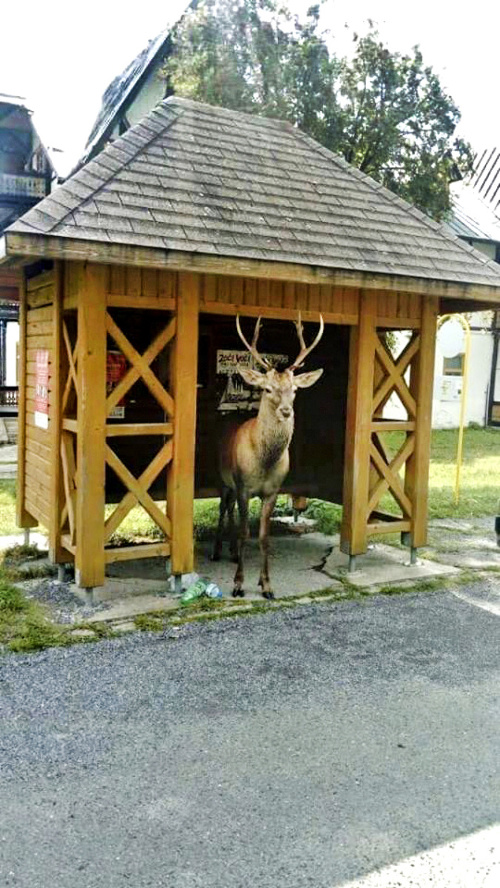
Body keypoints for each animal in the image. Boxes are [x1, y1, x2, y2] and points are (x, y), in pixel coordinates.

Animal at [214, 316, 324, 600]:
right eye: (266, 388)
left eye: (294, 389)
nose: (286, 411)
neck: (263, 463)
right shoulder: (243, 485)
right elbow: (245, 533)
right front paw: (238, 584)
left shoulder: (272, 490)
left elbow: (264, 537)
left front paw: (266, 585)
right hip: (223, 478)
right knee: (223, 507)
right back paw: (218, 551)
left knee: (230, 508)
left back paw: (231, 552)